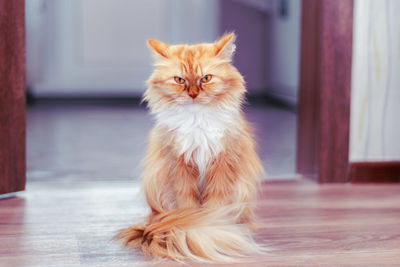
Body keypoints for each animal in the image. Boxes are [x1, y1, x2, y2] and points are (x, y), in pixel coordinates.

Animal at [115, 33, 264, 264]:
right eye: (179, 80)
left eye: (206, 78)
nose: (193, 94)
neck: (197, 122)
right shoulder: (180, 166)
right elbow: (189, 206)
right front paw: (195, 229)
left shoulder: (222, 164)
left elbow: (214, 206)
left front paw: (211, 229)